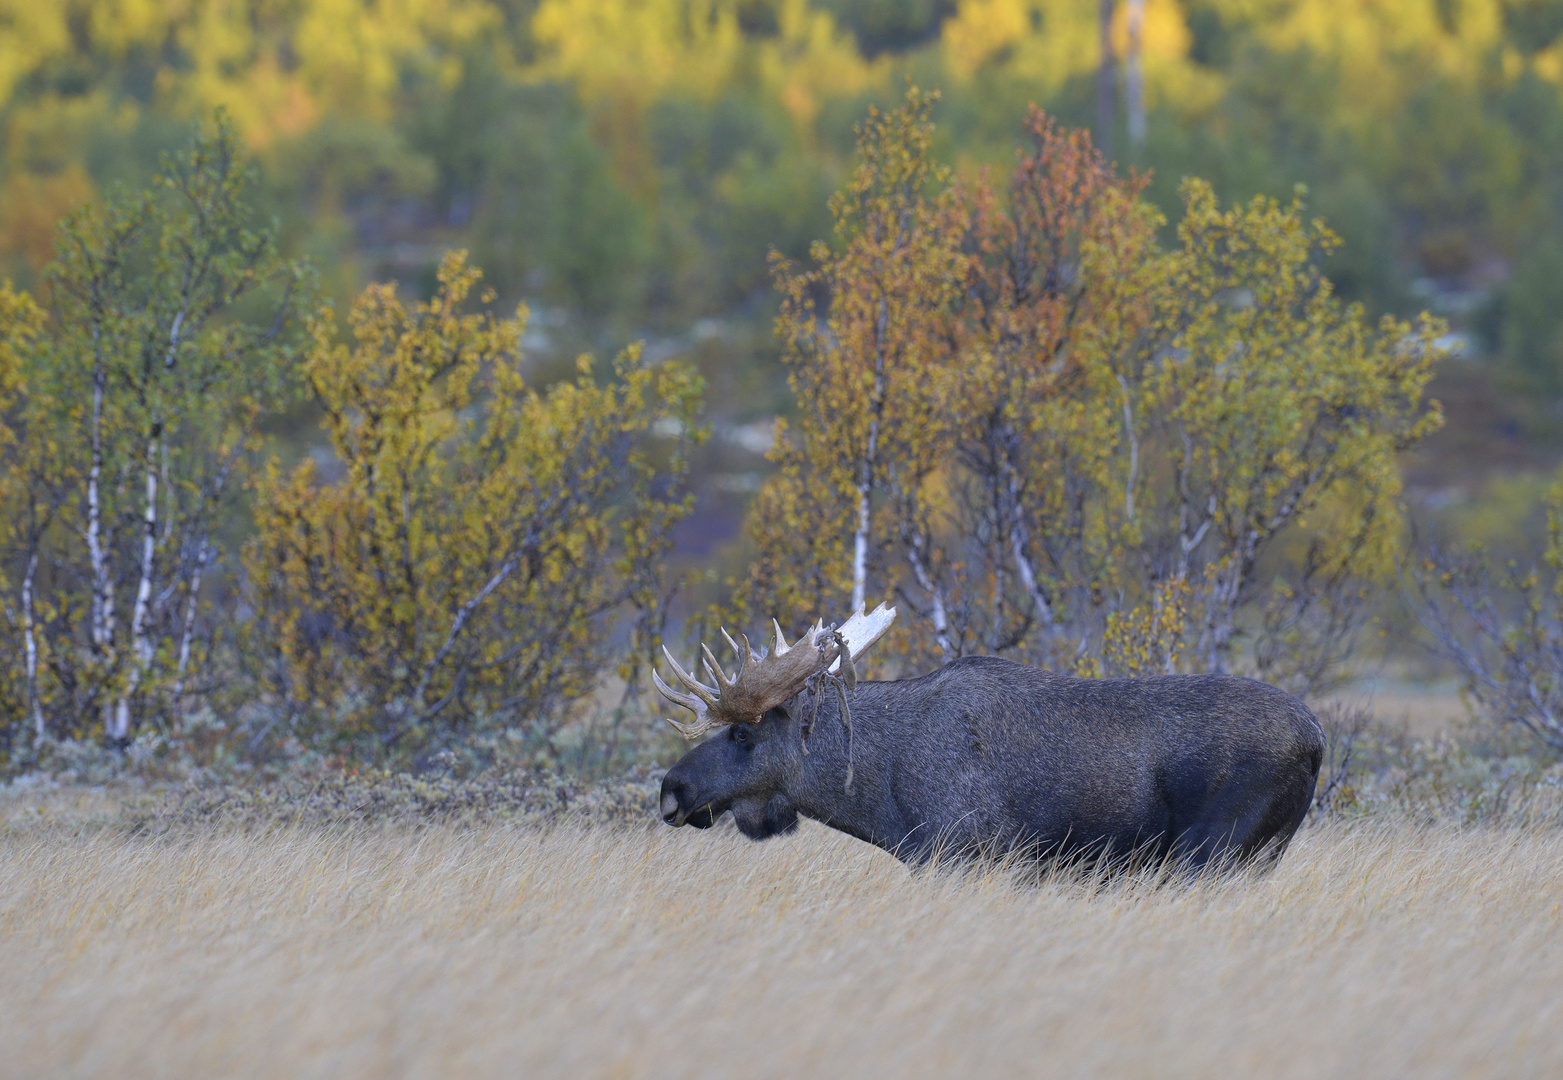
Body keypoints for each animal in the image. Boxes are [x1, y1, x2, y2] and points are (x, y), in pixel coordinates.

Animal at [653, 609, 1325, 869]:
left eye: (743, 733)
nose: (671, 790)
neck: (876, 796)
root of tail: (1318, 741)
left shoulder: (961, 855)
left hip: (1211, 852)